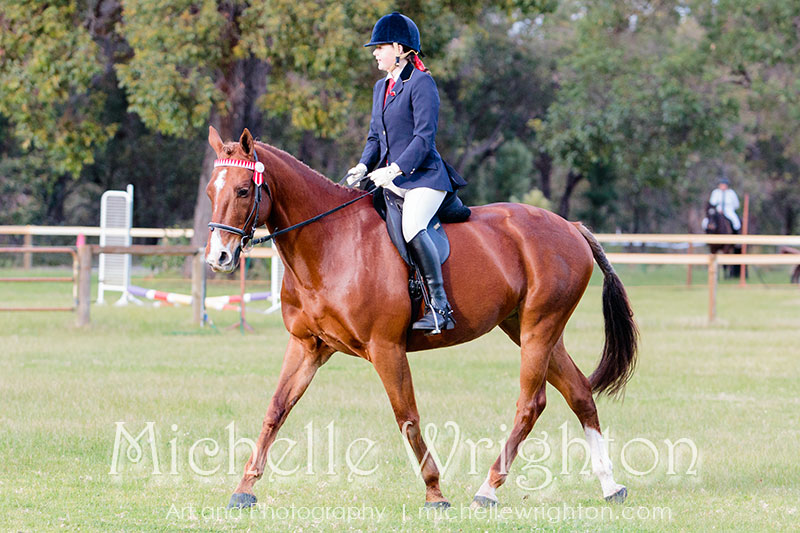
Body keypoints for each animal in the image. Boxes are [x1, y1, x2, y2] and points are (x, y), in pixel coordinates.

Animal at [205, 127, 636, 510]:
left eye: (243, 190)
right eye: (211, 191)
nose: (218, 257)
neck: (329, 244)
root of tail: (570, 226)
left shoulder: (386, 348)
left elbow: (407, 417)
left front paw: (435, 493)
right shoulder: (308, 346)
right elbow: (276, 410)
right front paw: (244, 489)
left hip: (539, 329)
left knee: (531, 403)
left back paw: (488, 490)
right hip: (529, 328)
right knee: (579, 392)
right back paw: (610, 486)